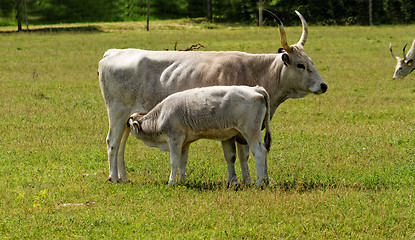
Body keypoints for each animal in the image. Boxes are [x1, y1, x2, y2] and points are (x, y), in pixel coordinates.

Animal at [128, 85, 274, 187]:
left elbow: (174, 161)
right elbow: (183, 162)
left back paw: (259, 182)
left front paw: (171, 182)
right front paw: (181, 182)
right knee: (265, 151)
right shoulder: (185, 143)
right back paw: (265, 180)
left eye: (129, 125)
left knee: (259, 153)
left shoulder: (175, 139)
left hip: (251, 133)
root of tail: (256, 89)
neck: (161, 115)